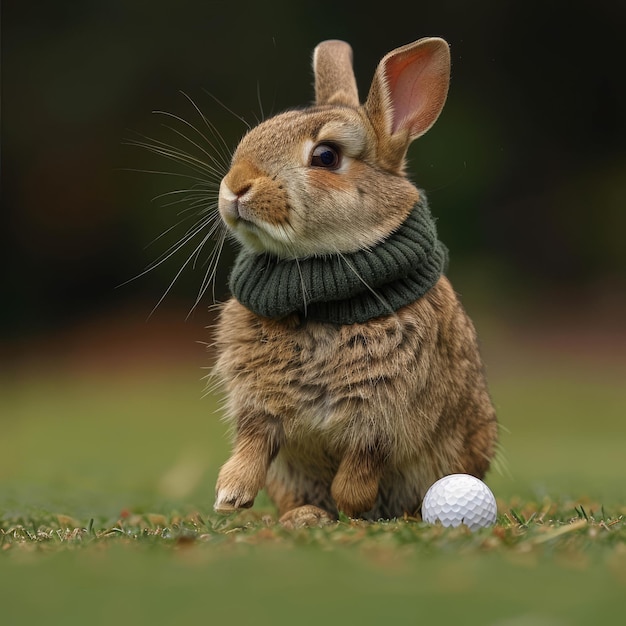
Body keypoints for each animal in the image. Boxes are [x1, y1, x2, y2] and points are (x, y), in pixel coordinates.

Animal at [212, 37, 494, 528]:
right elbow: (253, 444)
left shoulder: (384, 415)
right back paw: (304, 516)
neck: (320, 294)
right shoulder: (258, 403)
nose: (236, 187)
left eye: (326, 156)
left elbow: (362, 465)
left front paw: (352, 507)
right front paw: (230, 496)